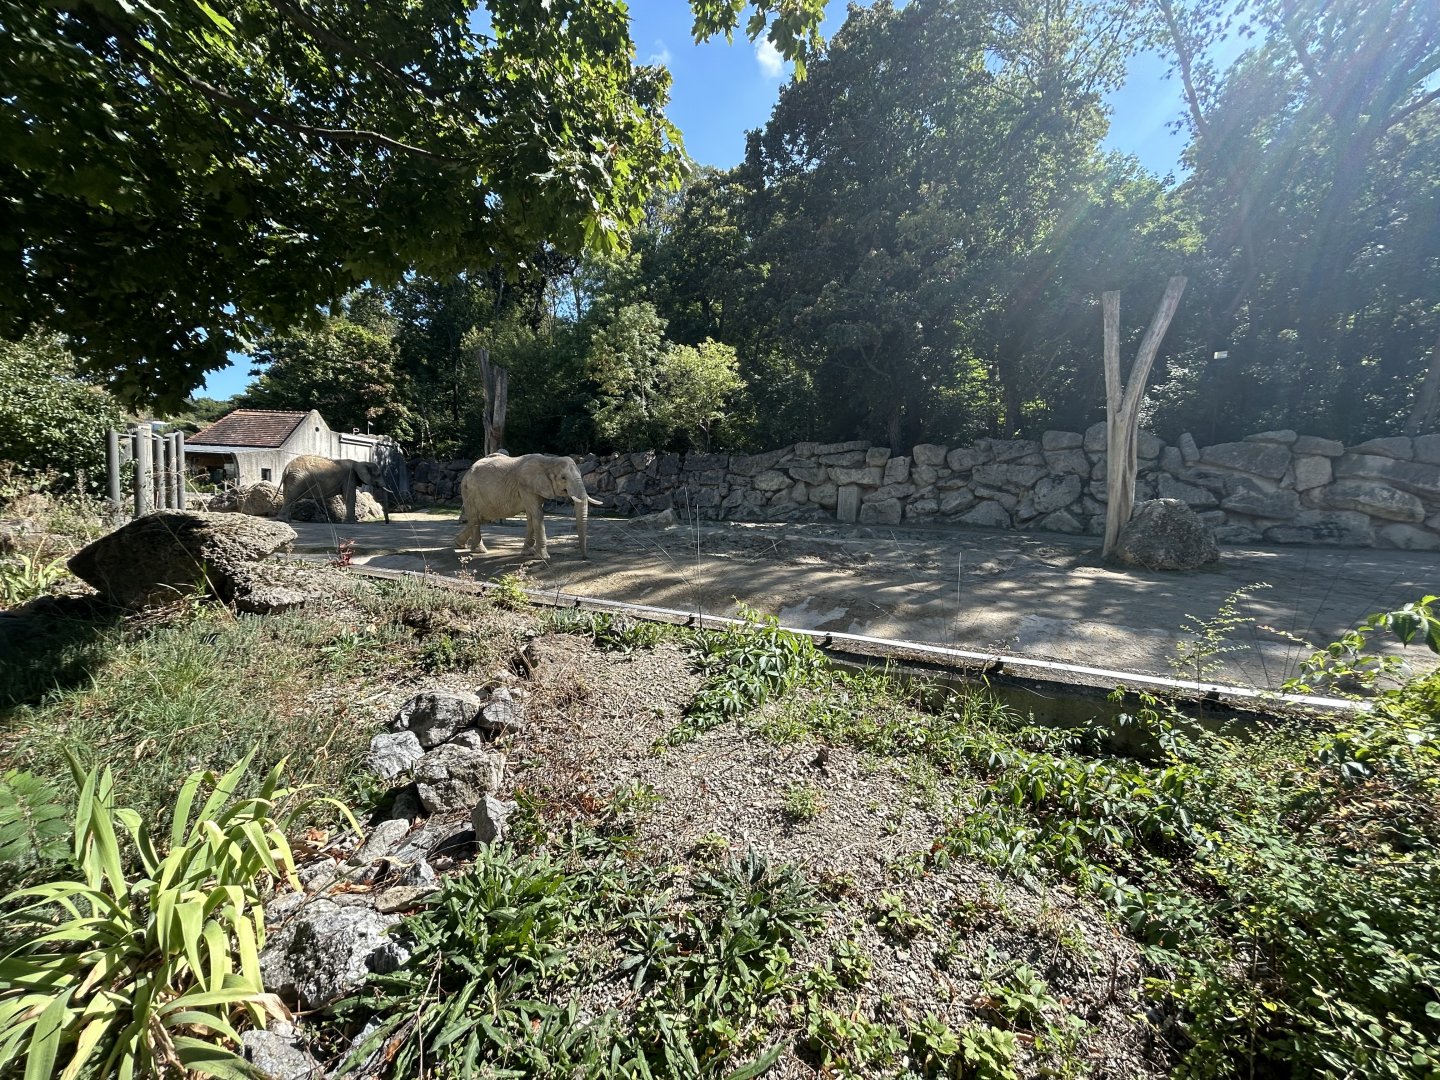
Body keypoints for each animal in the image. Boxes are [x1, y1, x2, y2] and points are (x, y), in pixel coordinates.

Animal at [455, 453, 601, 559]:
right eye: (563, 478)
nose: (585, 558)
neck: (549, 461)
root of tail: (467, 472)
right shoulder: (526, 486)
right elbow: (537, 514)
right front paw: (543, 557)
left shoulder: (537, 489)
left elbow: (531, 516)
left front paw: (528, 553)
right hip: (468, 490)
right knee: (475, 518)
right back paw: (480, 551)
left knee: (481, 518)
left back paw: (459, 544)